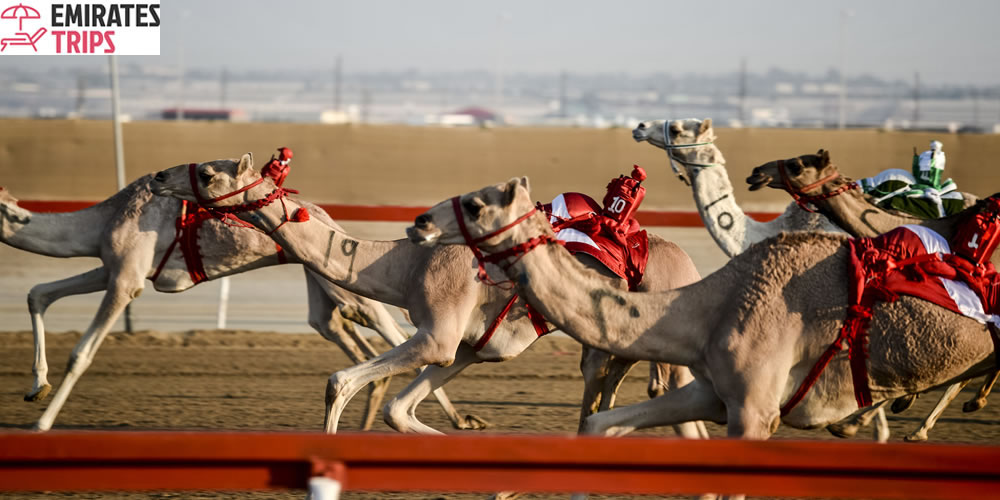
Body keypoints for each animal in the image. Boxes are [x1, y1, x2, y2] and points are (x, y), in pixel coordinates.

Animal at [0, 182, 474, 432]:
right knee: (337, 327)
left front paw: (41, 424)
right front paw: (35, 387)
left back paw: (462, 418)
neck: (104, 220)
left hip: (345, 283)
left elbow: (83, 352)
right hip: (320, 283)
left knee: (391, 328)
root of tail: (328, 217)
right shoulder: (110, 267)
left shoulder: (126, 277)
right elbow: (38, 292)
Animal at [148, 152, 712, 438]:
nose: (157, 175)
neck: (403, 265)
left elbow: (339, 381)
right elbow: (400, 412)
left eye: (207, 173)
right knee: (612, 394)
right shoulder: (467, 349)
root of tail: (687, 261)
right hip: (615, 347)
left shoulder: (437, 336)